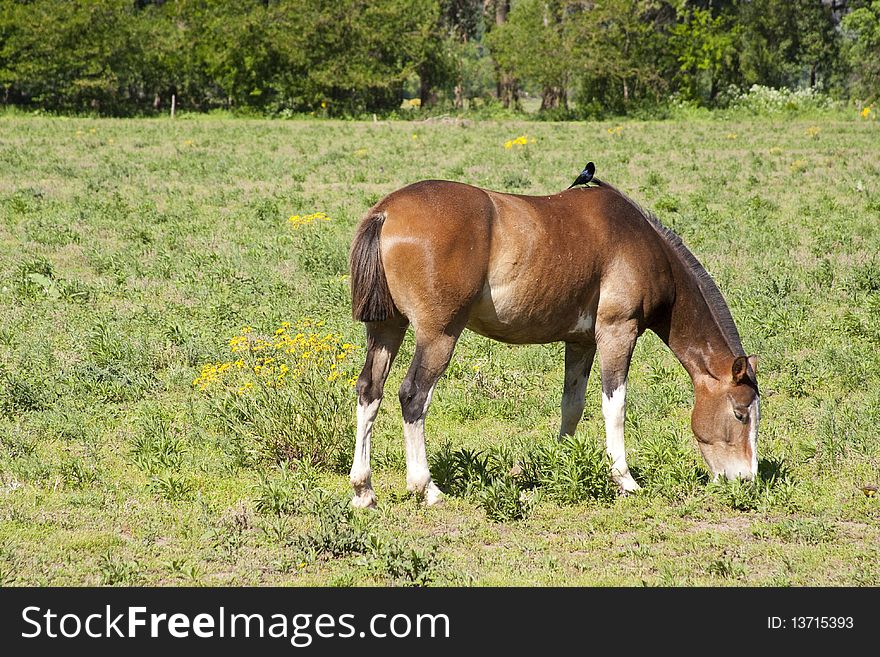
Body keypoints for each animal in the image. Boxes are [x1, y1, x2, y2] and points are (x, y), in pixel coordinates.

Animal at [348, 174, 760, 508]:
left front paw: (561, 465)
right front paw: (625, 480)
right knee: (413, 396)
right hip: (438, 336)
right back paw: (426, 487)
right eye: (740, 413)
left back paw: (363, 490)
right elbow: (615, 406)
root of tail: (386, 212)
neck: (639, 242)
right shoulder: (618, 332)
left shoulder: (581, 343)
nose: (747, 479)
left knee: (370, 390)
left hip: (387, 330)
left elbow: (572, 405)